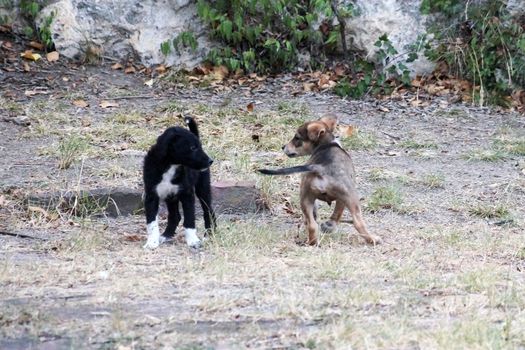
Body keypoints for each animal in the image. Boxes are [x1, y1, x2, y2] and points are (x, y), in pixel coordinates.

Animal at [142, 117, 214, 249]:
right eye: (193, 148)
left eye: (200, 146)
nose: (210, 161)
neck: (171, 165)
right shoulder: (151, 195)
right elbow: (151, 222)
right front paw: (151, 242)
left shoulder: (187, 194)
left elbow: (190, 220)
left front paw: (193, 241)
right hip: (170, 197)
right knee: (175, 216)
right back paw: (166, 235)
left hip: (203, 188)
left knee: (209, 211)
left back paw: (210, 234)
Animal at [258, 116, 378, 245]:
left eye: (297, 138)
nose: (283, 146)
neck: (328, 144)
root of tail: (321, 168)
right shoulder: (342, 199)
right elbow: (337, 213)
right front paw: (330, 226)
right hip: (351, 197)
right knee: (358, 222)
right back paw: (373, 239)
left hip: (305, 197)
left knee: (312, 225)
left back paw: (312, 242)